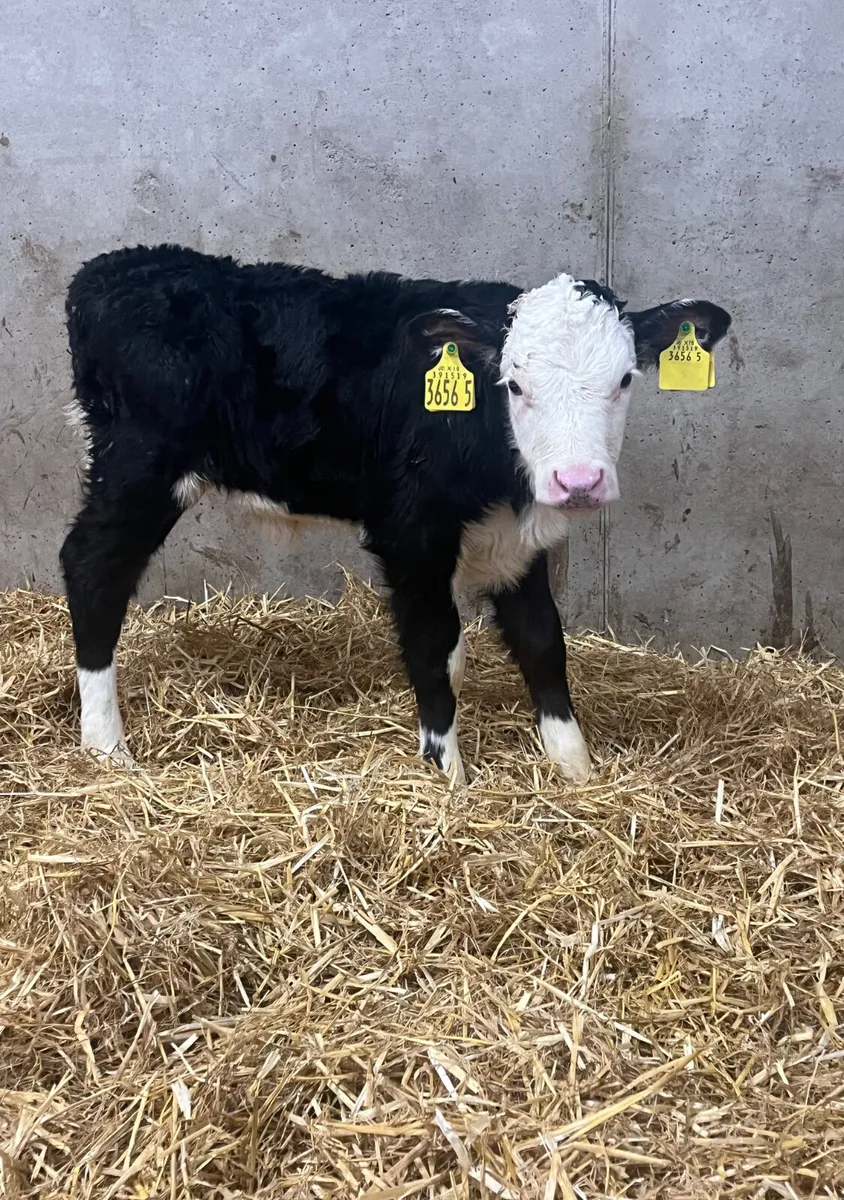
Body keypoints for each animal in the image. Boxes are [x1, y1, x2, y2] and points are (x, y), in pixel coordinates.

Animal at [60, 244, 730, 782]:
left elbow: (541, 640)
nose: (579, 481)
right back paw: (106, 748)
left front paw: (576, 771)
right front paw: (447, 776)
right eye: (514, 385)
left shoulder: (516, 541)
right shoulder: (410, 533)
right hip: (140, 466)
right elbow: (434, 644)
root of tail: (112, 268)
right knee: (92, 568)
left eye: (625, 379)